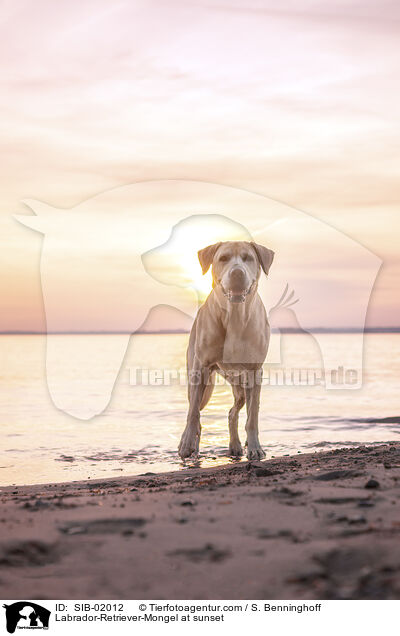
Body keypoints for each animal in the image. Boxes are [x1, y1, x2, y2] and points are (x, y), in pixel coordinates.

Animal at [179, 241, 276, 460]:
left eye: (248, 258)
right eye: (223, 258)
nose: (237, 273)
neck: (235, 317)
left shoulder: (254, 371)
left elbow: (252, 416)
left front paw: (255, 447)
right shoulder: (201, 367)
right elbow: (193, 414)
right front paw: (187, 443)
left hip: (241, 386)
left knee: (234, 412)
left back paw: (236, 445)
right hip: (203, 383)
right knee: (195, 411)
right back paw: (193, 445)